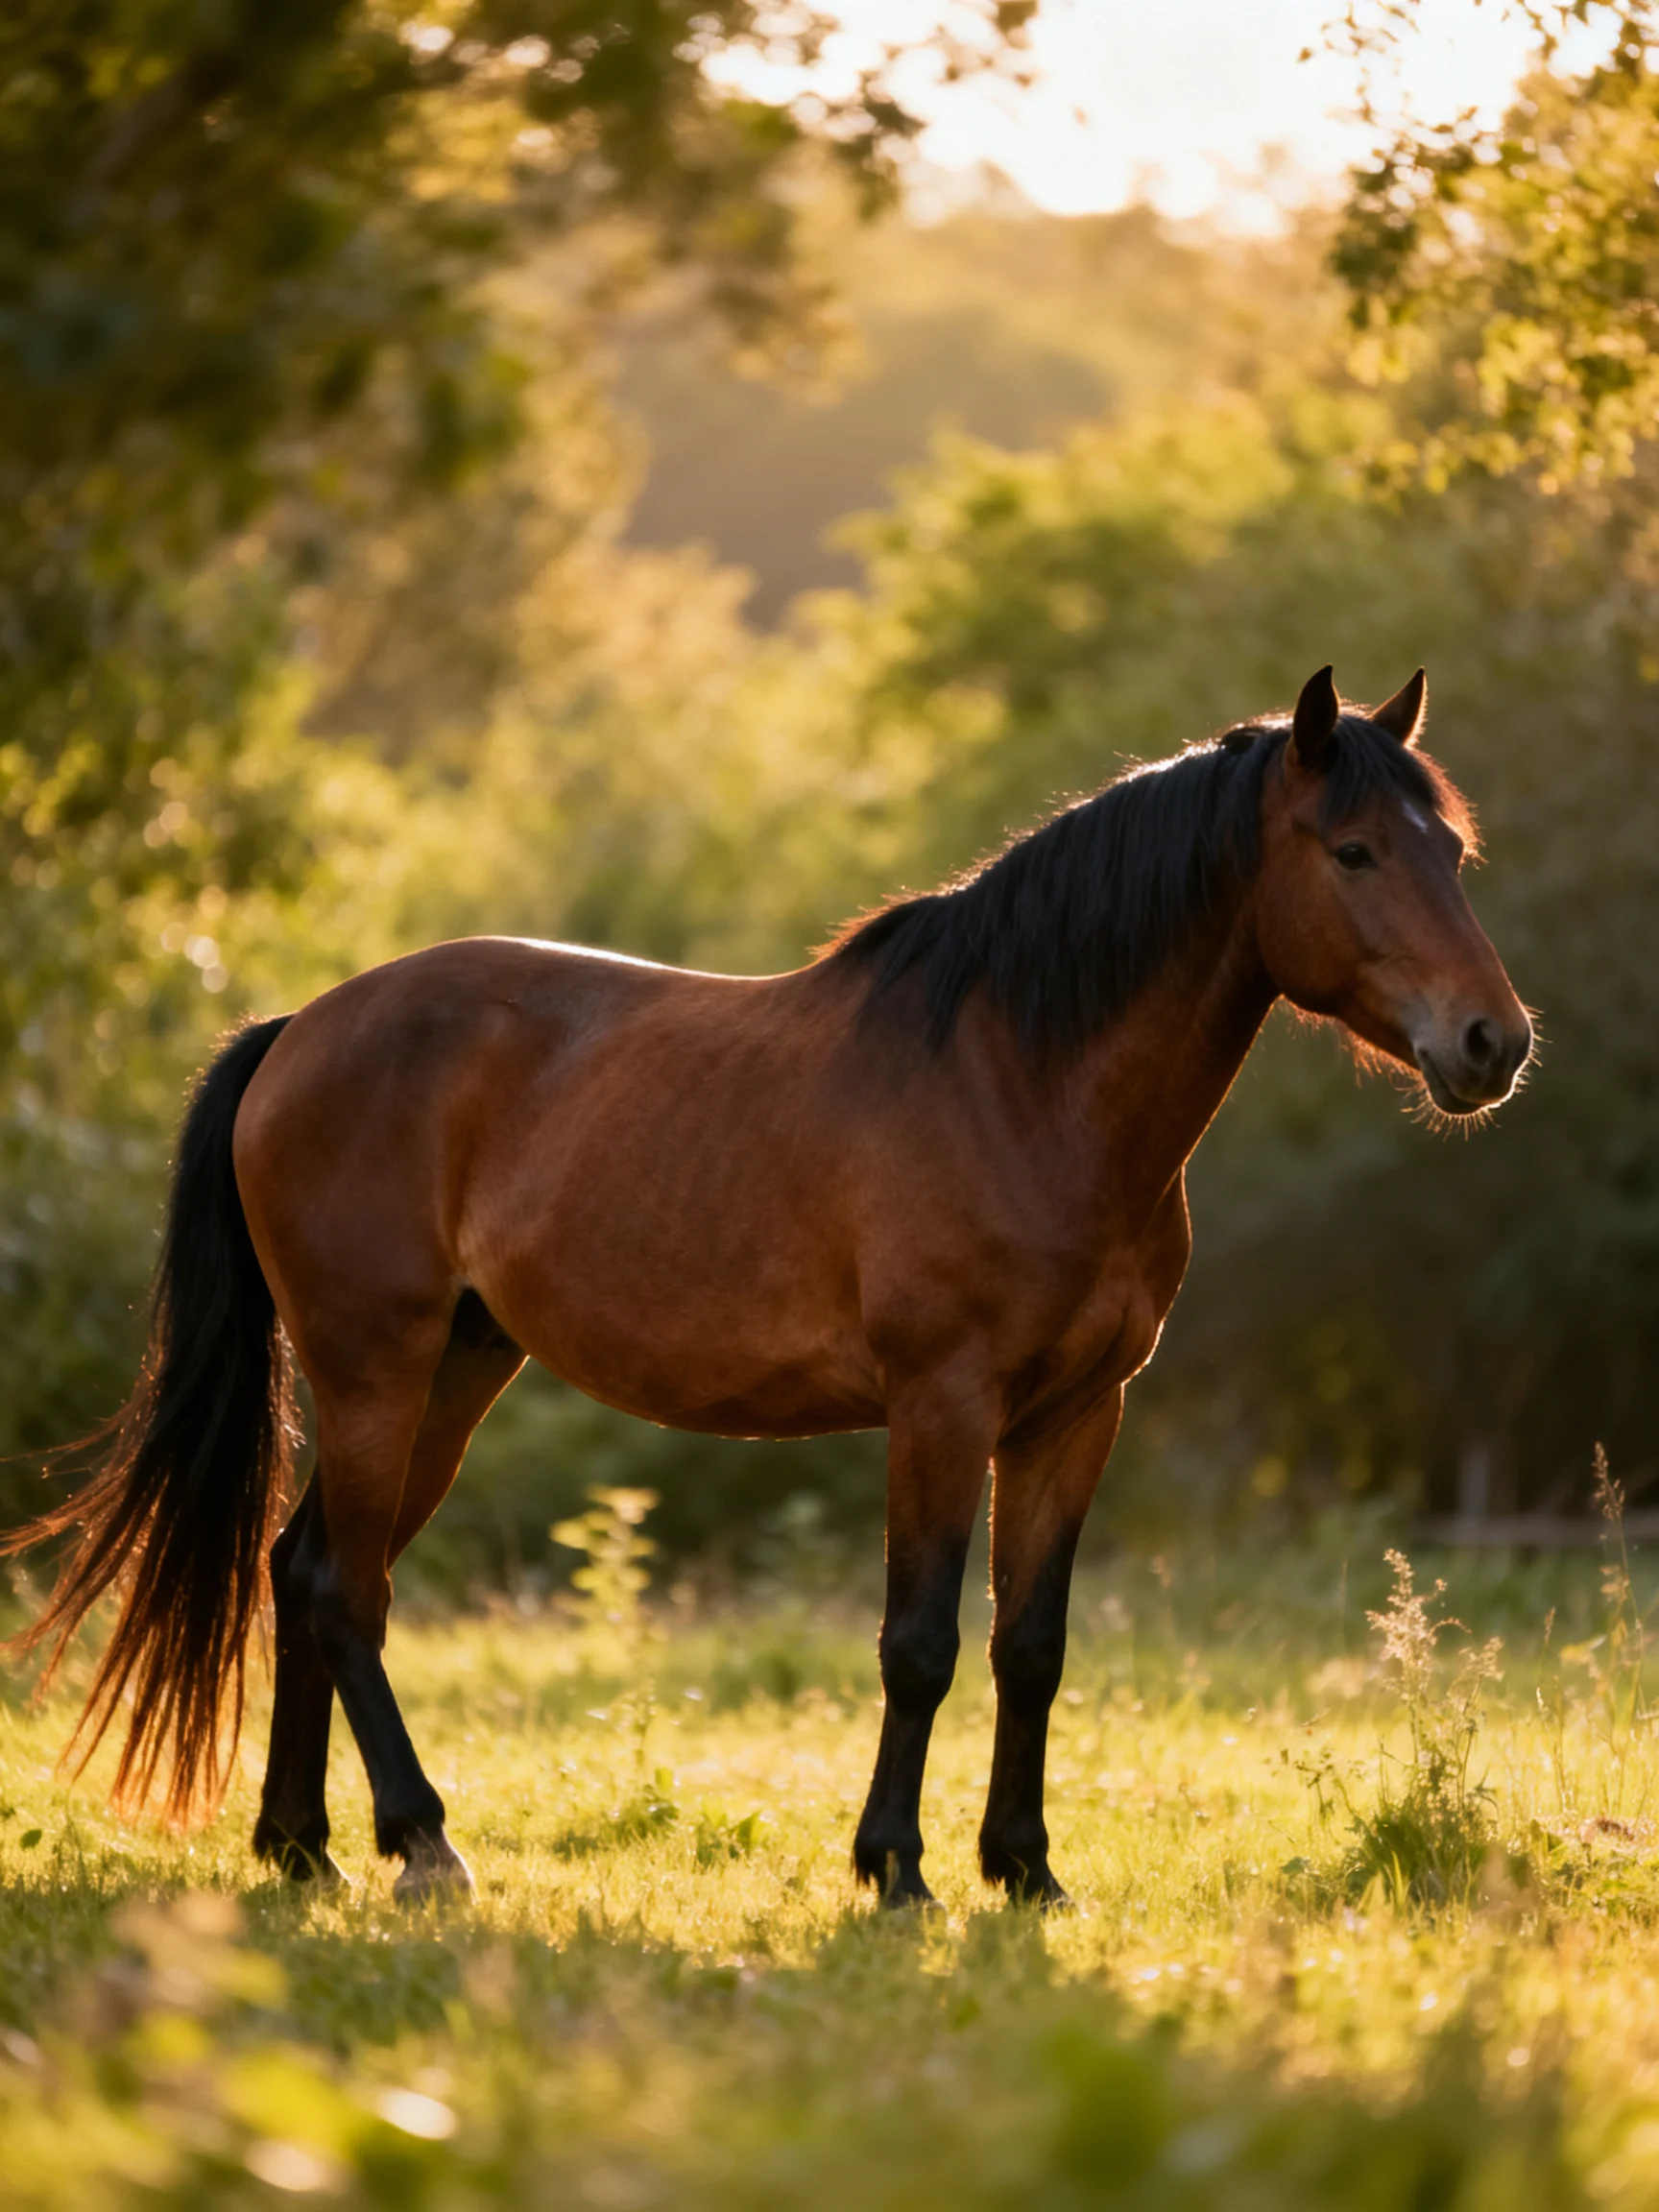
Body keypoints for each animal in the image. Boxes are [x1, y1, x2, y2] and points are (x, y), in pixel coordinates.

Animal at [4, 665, 1532, 1907]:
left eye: (1450, 850)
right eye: (1351, 850)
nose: (1493, 1042)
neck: (1022, 1083)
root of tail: (294, 1032)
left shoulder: (1075, 1415)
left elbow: (1030, 1645)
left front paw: (1026, 1873)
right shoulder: (941, 1406)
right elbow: (920, 1641)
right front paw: (897, 1870)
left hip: (451, 1371)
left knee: (308, 1569)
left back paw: (303, 1847)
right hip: (372, 1366)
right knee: (339, 1584)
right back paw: (422, 1842)